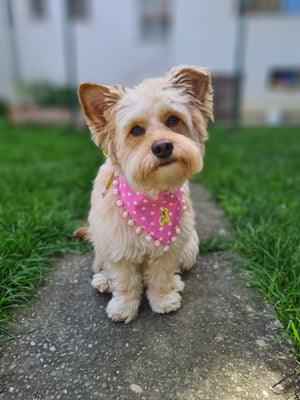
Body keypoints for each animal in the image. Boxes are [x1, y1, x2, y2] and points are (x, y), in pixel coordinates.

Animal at [77, 65, 213, 322]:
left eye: (173, 120)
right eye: (136, 130)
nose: (162, 146)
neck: (151, 195)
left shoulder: (168, 251)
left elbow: (160, 277)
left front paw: (163, 299)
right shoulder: (117, 249)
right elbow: (125, 282)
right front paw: (123, 307)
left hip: (189, 247)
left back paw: (175, 283)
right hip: (100, 249)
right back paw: (104, 282)